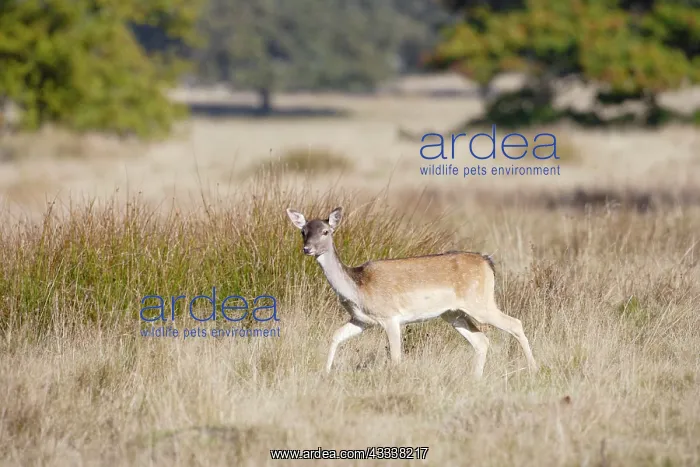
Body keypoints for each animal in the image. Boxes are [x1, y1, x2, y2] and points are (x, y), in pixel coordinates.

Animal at [286, 206, 538, 378]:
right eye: (303, 231)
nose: (307, 249)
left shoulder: (390, 317)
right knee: (481, 340)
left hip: (480, 303)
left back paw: (534, 369)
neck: (357, 288)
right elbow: (335, 335)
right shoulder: (361, 320)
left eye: (326, 231)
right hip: (453, 313)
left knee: (515, 323)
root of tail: (488, 262)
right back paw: (475, 378)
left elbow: (396, 357)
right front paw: (325, 373)